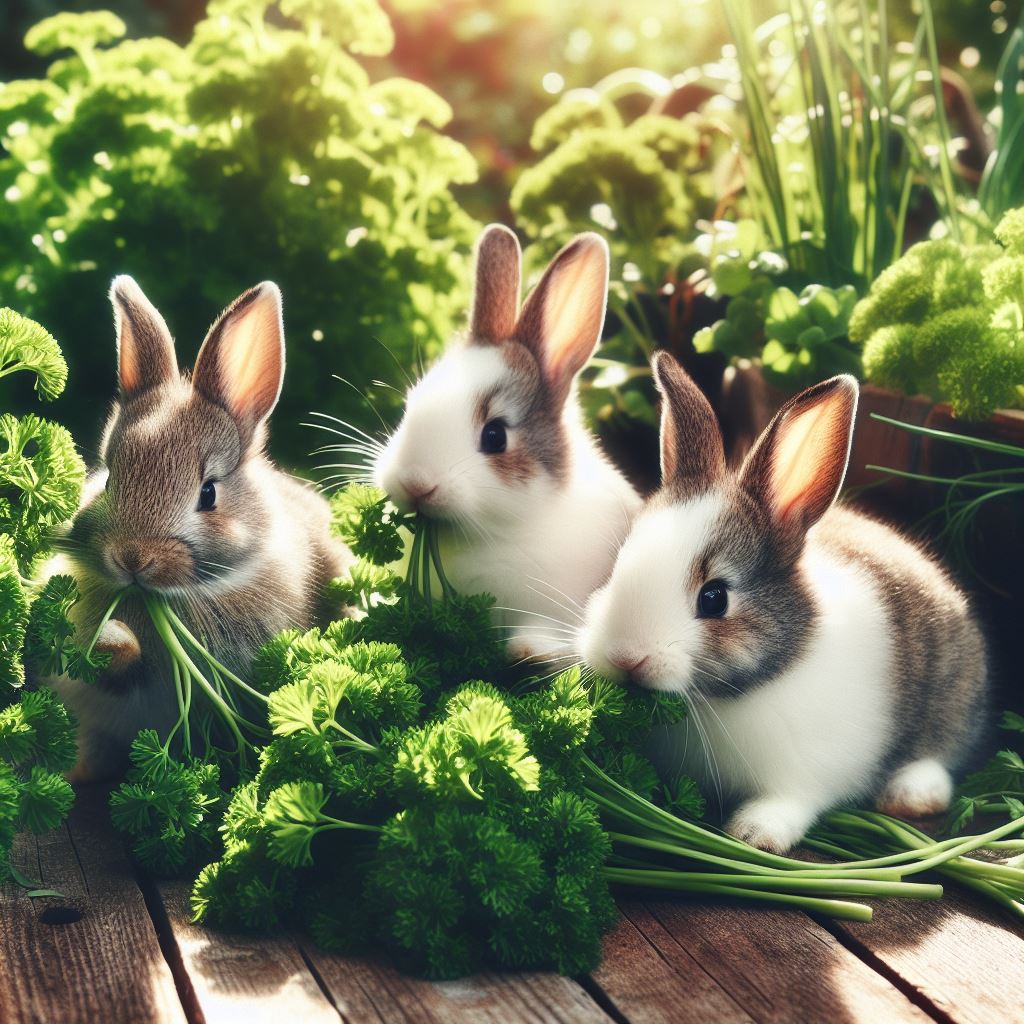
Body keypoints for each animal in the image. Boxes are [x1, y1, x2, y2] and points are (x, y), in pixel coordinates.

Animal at [581, 352, 987, 856]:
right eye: (619, 563)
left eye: (714, 597)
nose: (625, 656)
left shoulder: (810, 773)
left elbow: (792, 802)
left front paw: (754, 834)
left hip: (952, 694)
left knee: (942, 751)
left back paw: (910, 795)